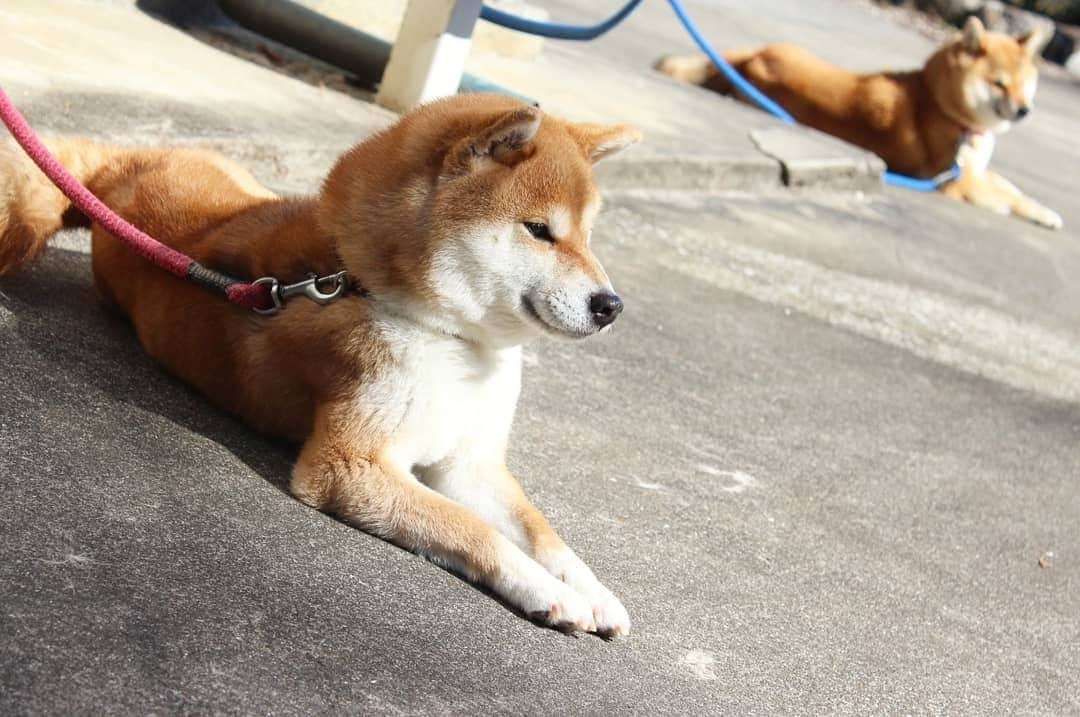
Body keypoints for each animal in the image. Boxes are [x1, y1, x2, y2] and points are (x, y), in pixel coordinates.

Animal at [0, 92, 639, 634]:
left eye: (587, 235)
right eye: (539, 231)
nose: (611, 306)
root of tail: (121, 171)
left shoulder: (471, 462)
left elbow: (542, 531)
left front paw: (592, 590)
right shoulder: (348, 466)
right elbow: (474, 529)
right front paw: (549, 592)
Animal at [652, 16, 1058, 227]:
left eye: (1025, 82)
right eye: (999, 83)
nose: (1024, 110)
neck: (941, 102)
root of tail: (749, 58)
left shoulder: (974, 169)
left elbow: (1009, 185)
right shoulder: (956, 180)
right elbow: (1009, 197)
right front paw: (1045, 213)